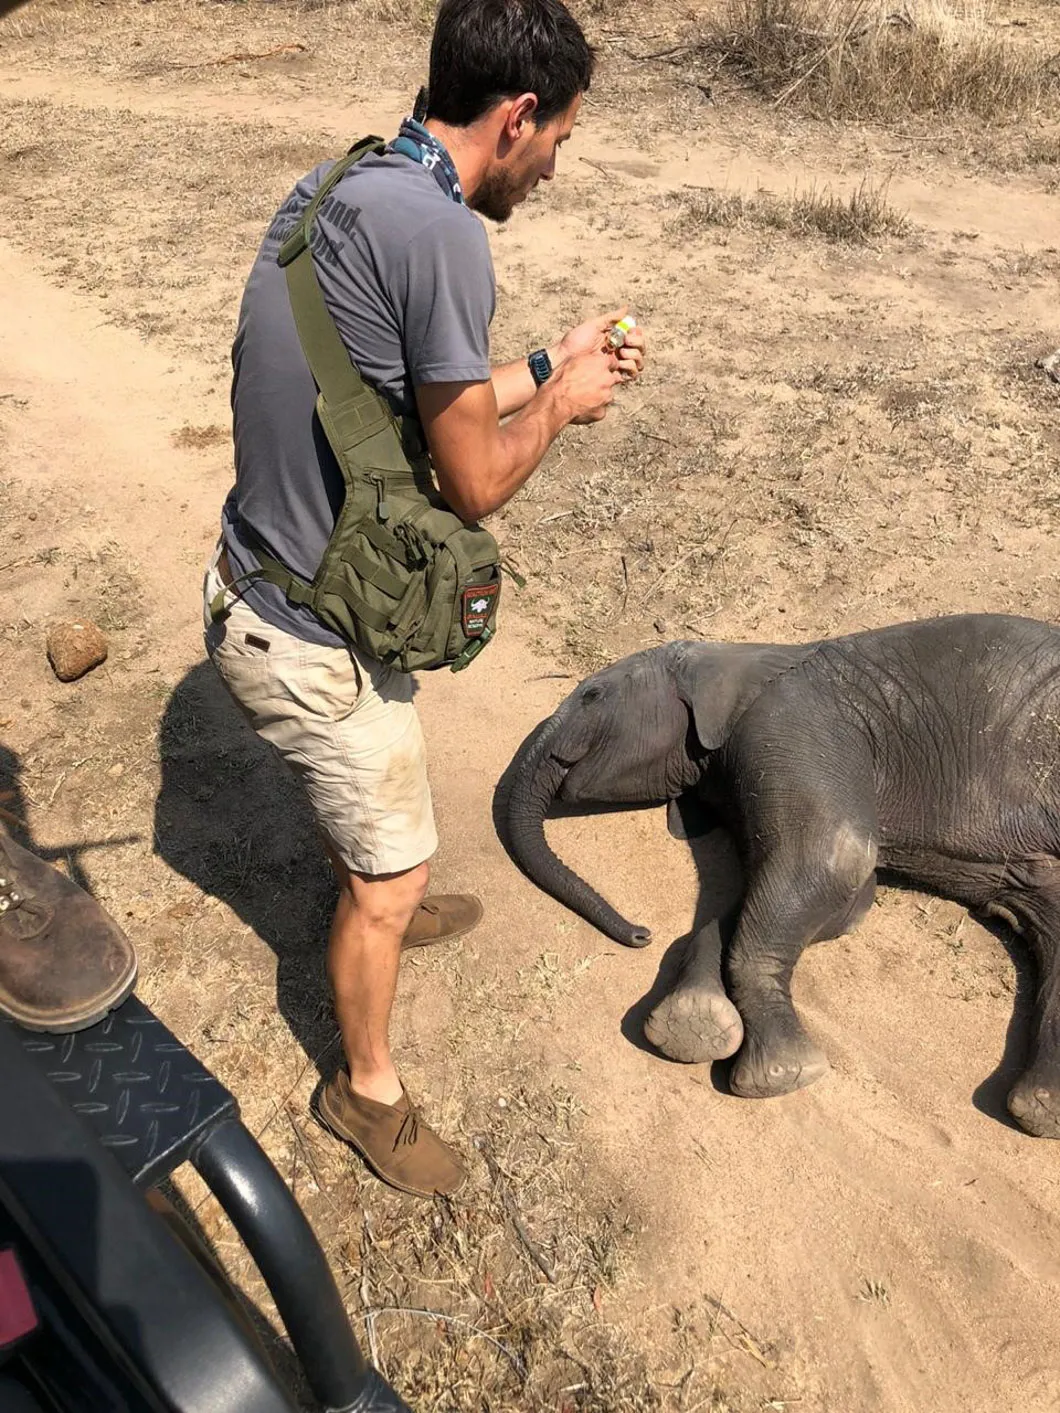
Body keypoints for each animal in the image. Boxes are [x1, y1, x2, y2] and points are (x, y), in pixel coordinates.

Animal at [501, 613, 1060, 1139]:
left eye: (592, 695)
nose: (642, 934)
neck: (732, 657)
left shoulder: (793, 721)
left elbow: (835, 859)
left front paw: (782, 1075)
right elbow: (844, 899)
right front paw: (696, 1025)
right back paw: (1043, 1108)